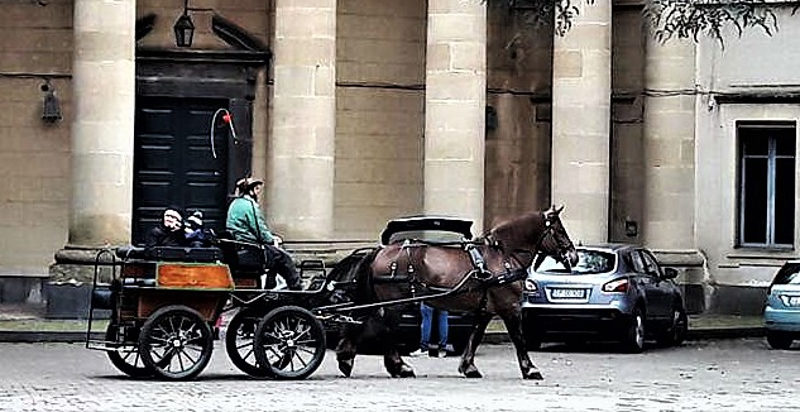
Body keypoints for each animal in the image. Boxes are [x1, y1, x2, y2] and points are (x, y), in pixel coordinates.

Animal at [334, 205, 580, 380]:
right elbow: (519, 338)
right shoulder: (510, 308)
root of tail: (382, 250)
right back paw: (395, 366)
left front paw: (468, 367)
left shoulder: (485, 310)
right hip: (396, 303)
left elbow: (475, 336)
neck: (503, 255)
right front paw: (530, 369)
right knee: (383, 329)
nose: (574, 257)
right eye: (559, 230)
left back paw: (351, 358)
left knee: (368, 324)